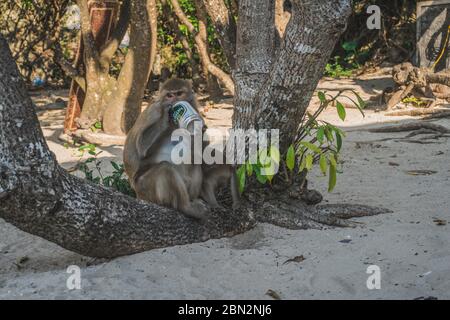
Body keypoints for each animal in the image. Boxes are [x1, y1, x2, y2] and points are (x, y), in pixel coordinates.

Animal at [123, 77, 239, 220]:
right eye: (169, 95)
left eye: (179, 93)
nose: (174, 101)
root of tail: (137, 194)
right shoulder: (153, 111)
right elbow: (140, 147)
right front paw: (166, 115)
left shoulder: (194, 108)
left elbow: (201, 148)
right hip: (145, 189)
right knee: (165, 169)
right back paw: (186, 207)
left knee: (195, 161)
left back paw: (193, 200)